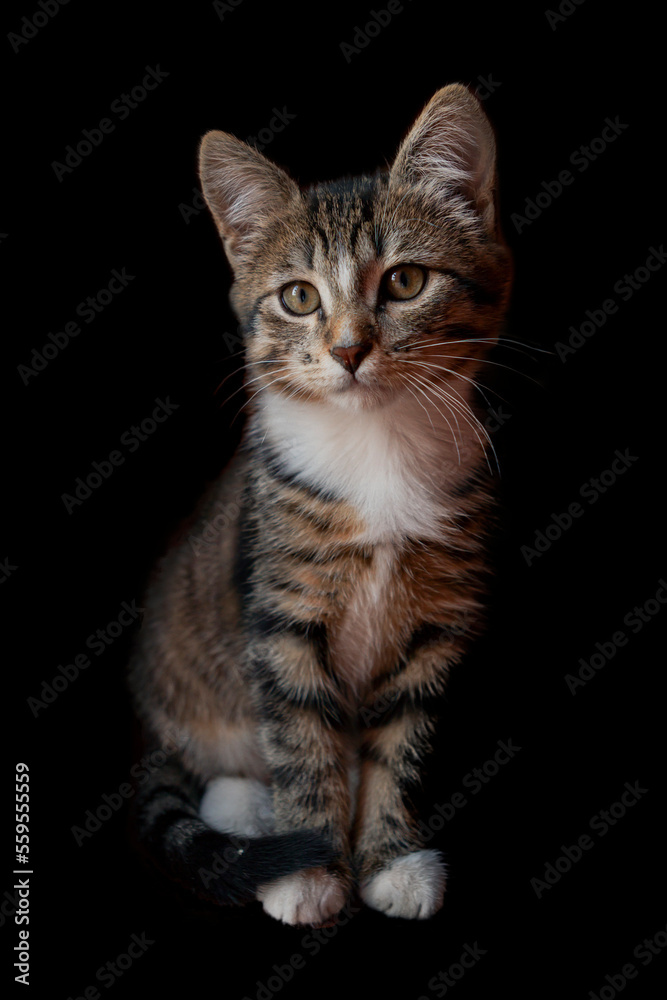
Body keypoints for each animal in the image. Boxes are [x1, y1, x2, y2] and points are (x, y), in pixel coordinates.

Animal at [128, 82, 516, 924]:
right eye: (299, 297)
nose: (346, 348)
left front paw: (390, 860)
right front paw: (307, 868)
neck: (376, 445)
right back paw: (247, 809)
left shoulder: (436, 623)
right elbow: (301, 737)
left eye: (404, 282)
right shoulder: (279, 611)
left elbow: (403, 744)